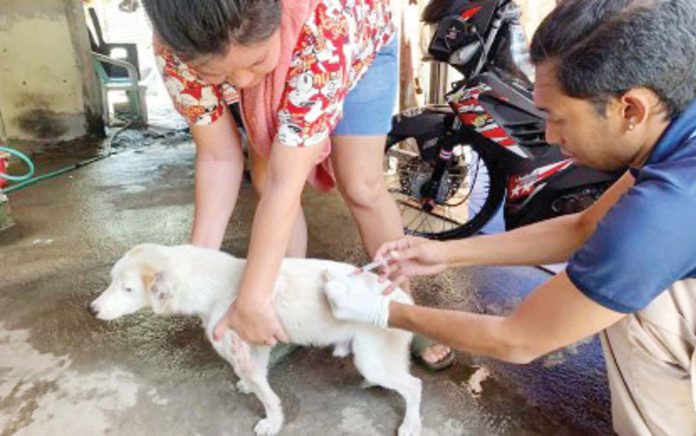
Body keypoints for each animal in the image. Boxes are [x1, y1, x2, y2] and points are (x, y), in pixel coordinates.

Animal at [89, 244, 422, 434]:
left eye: (128, 289)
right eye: (111, 280)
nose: (92, 309)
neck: (211, 284)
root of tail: (404, 300)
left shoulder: (240, 352)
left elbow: (269, 398)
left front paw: (272, 423)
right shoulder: (254, 345)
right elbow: (259, 375)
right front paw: (250, 387)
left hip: (371, 361)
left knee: (414, 385)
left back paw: (411, 425)